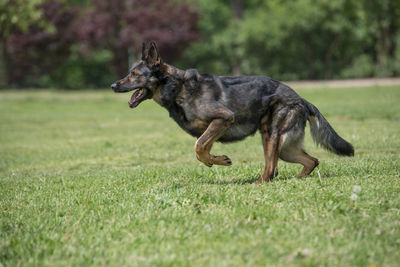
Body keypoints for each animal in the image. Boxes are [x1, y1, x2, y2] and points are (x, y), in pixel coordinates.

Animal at [110, 42, 354, 184]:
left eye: (133, 74)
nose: (112, 86)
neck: (178, 87)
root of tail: (300, 99)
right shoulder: (216, 127)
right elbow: (203, 146)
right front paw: (215, 159)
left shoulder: (224, 118)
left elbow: (198, 146)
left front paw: (214, 160)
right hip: (284, 147)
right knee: (310, 161)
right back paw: (296, 179)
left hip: (272, 137)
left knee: (271, 169)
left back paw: (260, 184)